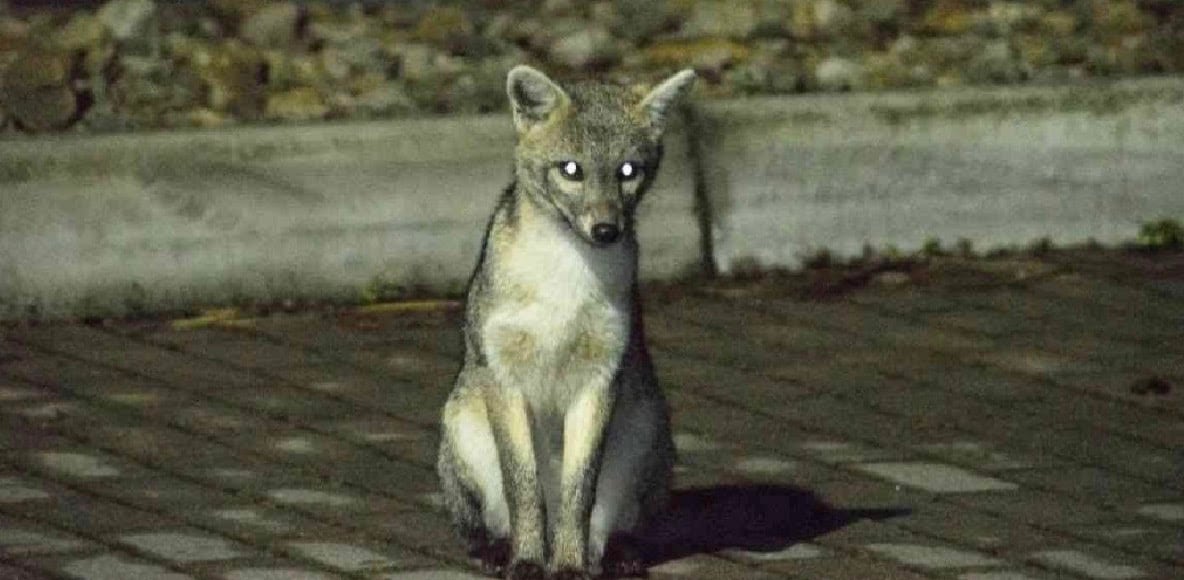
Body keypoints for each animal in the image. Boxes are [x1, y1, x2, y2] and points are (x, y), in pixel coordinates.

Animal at [436, 65, 696, 580]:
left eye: (628, 171)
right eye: (571, 170)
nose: (606, 230)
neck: (565, 285)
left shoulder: (599, 382)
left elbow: (580, 494)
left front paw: (570, 564)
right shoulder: (505, 380)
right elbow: (523, 490)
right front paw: (527, 560)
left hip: (647, 434)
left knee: (618, 525)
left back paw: (613, 553)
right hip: (462, 424)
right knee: (482, 524)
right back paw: (498, 548)